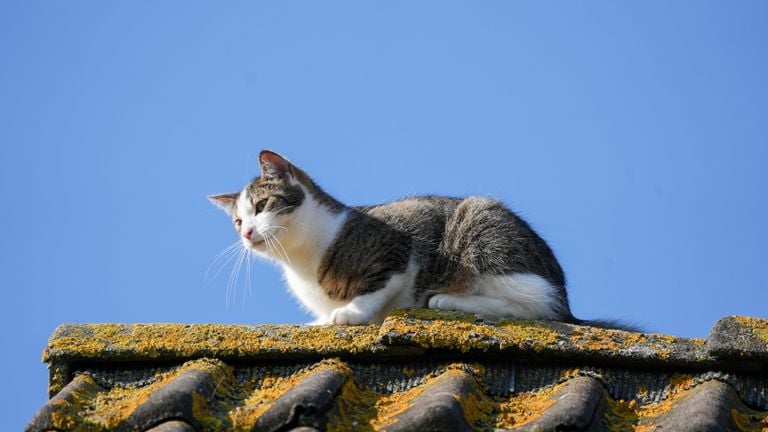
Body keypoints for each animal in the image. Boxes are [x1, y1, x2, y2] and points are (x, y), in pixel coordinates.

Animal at [208, 150, 632, 330]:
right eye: (237, 221)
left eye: (262, 205)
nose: (247, 233)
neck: (299, 259)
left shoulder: (399, 247)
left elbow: (379, 285)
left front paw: (350, 312)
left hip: (479, 227)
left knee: (534, 306)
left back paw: (449, 299)